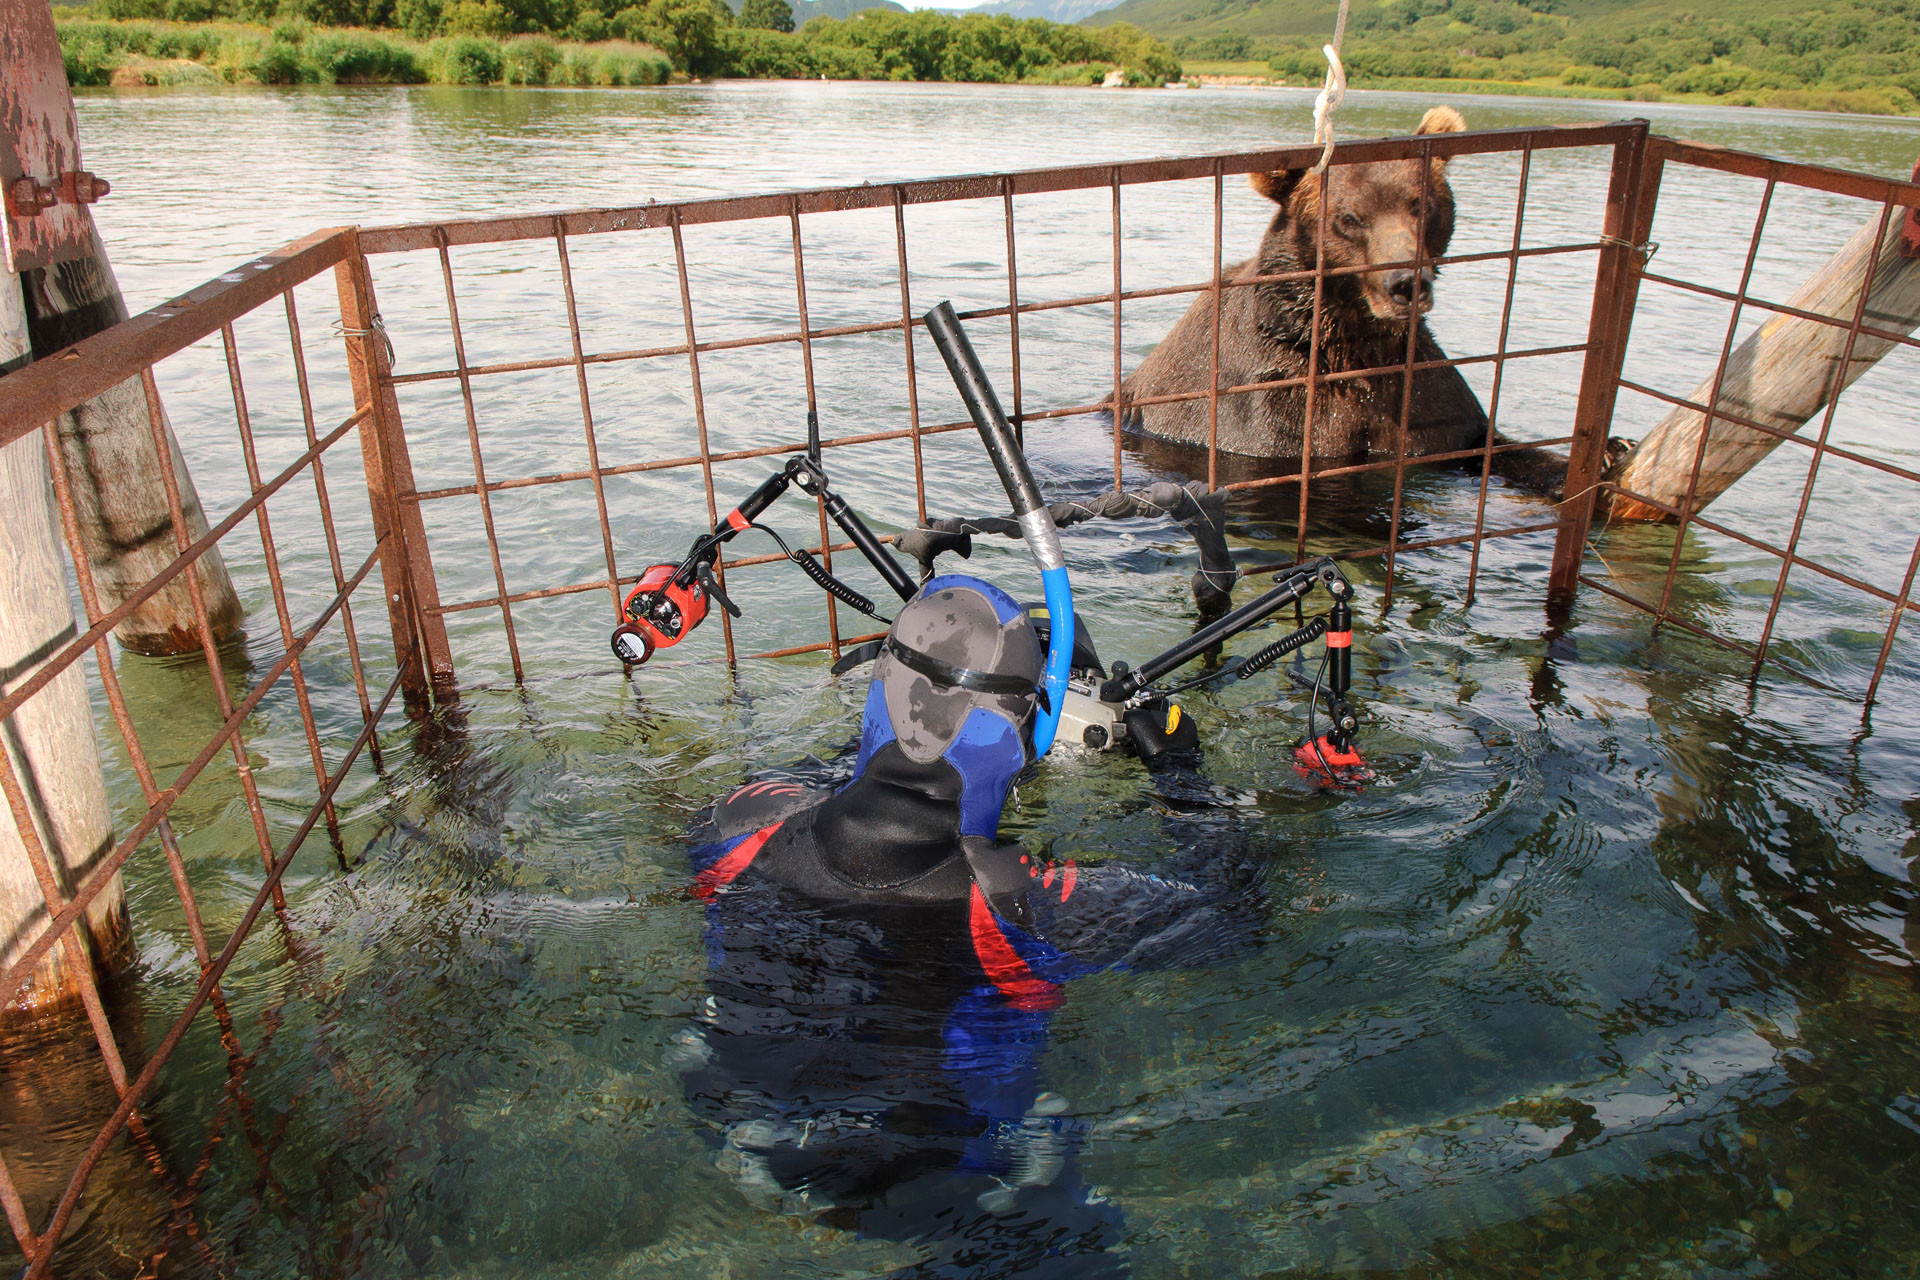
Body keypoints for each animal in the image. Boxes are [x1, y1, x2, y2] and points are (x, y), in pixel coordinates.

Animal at [1121, 107, 1566, 495]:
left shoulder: (1423, 396)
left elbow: (1479, 440)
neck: (1351, 340)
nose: (1406, 283)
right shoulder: (1265, 410)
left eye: (1421, 204)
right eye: (1349, 218)